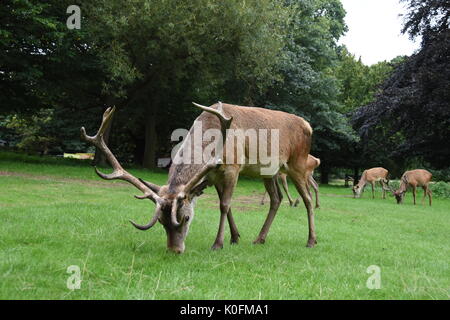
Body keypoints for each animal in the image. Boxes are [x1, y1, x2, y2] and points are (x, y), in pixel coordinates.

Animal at [81, 101, 316, 254]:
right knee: (276, 199)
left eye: (186, 218)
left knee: (307, 198)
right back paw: (260, 238)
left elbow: (224, 205)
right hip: (270, 172)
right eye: (162, 222)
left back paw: (311, 240)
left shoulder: (232, 168)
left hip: (298, 163)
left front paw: (218, 243)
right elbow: (228, 206)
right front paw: (235, 237)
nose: (174, 250)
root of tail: (308, 125)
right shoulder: (213, 175)